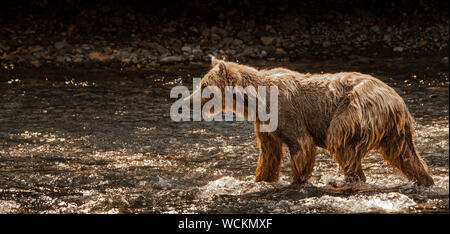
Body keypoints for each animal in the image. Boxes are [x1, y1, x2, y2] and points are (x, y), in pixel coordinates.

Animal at [185, 56, 432, 186]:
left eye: (204, 85)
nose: (188, 100)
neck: (254, 102)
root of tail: (396, 100)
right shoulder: (265, 124)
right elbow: (269, 154)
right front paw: (260, 180)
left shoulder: (285, 112)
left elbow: (302, 145)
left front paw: (297, 180)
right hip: (395, 130)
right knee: (407, 156)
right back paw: (425, 180)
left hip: (355, 110)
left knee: (340, 142)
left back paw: (351, 179)